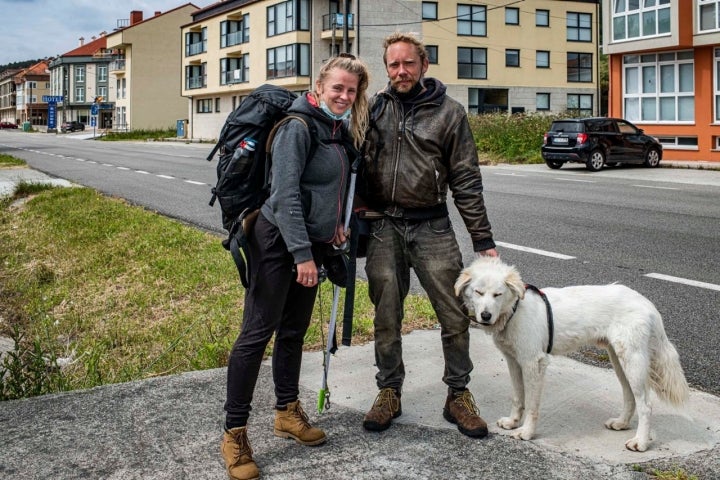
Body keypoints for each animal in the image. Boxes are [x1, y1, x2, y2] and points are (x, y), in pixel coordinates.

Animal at [452, 256, 688, 452]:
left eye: (497, 294)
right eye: (478, 292)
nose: (485, 316)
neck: (514, 310)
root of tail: (646, 303)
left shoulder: (534, 363)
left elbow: (532, 405)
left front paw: (527, 432)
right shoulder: (514, 361)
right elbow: (518, 397)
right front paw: (512, 422)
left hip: (633, 361)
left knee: (646, 405)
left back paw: (640, 442)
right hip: (619, 360)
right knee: (630, 396)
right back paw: (621, 423)